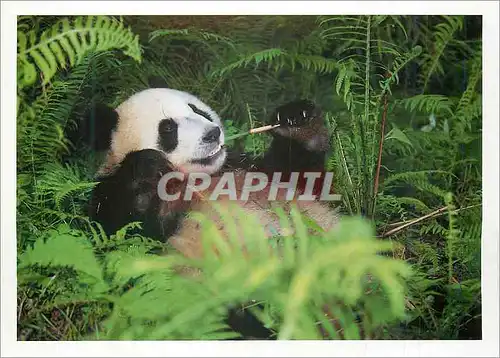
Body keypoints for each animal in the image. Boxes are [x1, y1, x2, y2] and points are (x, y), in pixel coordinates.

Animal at [82, 86, 342, 338]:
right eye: (168, 129)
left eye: (198, 111)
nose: (213, 133)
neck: (194, 178)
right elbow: (122, 242)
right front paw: (145, 166)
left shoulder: (249, 170)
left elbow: (303, 178)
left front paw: (295, 118)